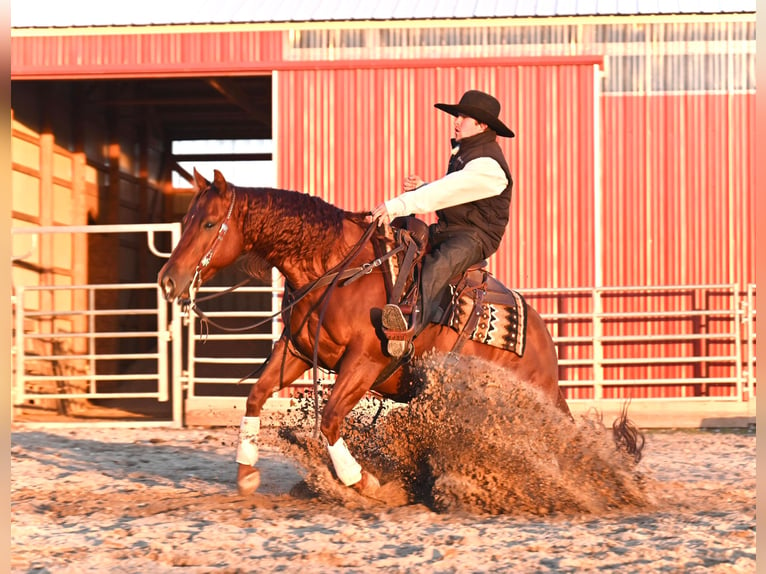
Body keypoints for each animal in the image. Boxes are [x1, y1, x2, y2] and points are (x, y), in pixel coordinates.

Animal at [159, 170, 628, 500]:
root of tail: (543, 345)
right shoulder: (297, 352)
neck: (335, 269)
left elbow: (330, 419)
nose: (167, 280)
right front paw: (246, 473)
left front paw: (363, 481)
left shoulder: (364, 363)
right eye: (187, 219)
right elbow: (256, 396)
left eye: (209, 223)